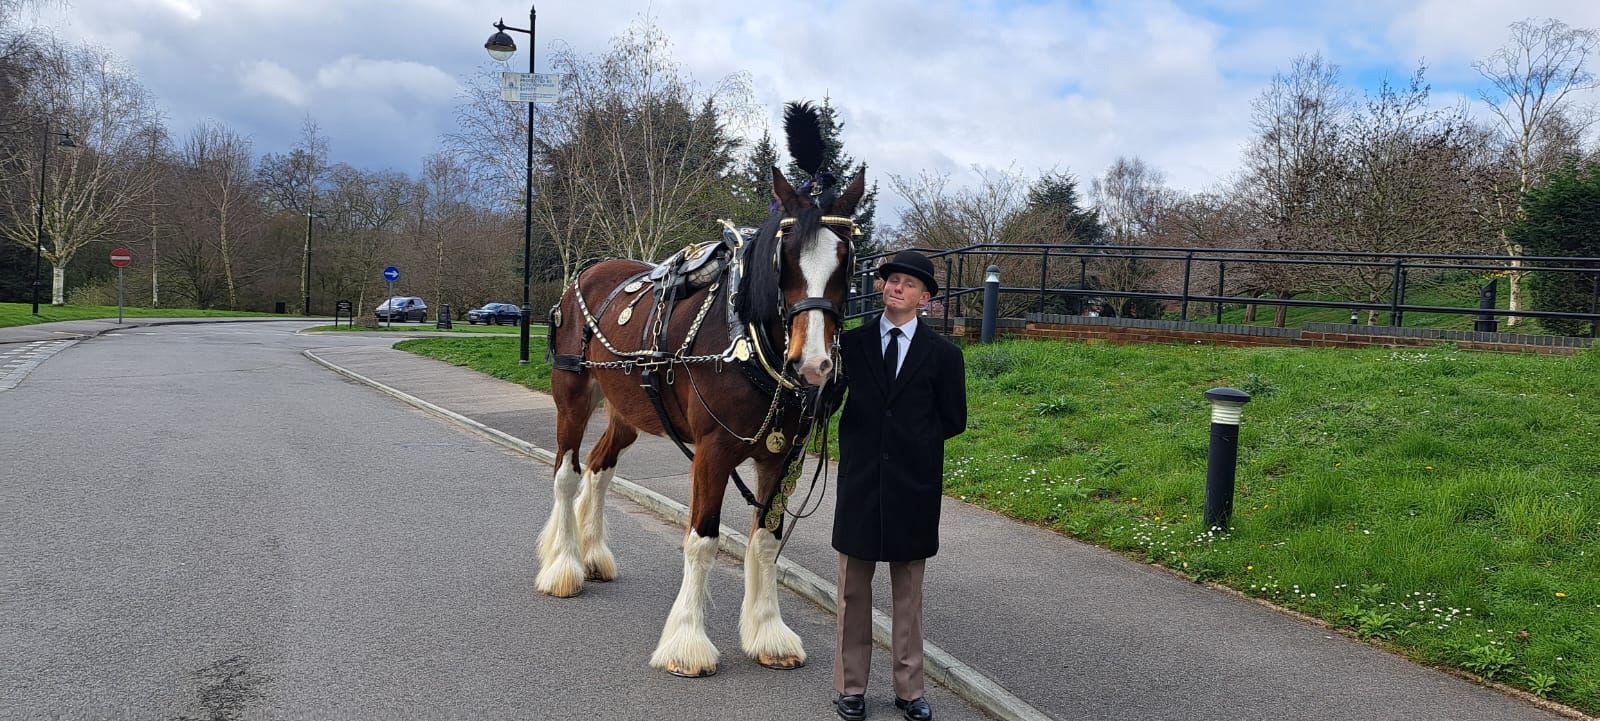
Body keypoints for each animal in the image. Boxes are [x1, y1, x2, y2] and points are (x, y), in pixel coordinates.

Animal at [540, 109, 866, 677]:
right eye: (785, 258)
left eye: (845, 259)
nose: (813, 365)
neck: (749, 338)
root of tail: (589, 272)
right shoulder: (712, 453)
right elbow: (703, 540)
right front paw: (687, 641)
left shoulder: (782, 456)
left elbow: (765, 541)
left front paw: (768, 632)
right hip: (573, 397)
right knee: (567, 473)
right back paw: (564, 566)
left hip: (626, 412)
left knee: (600, 469)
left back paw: (592, 553)